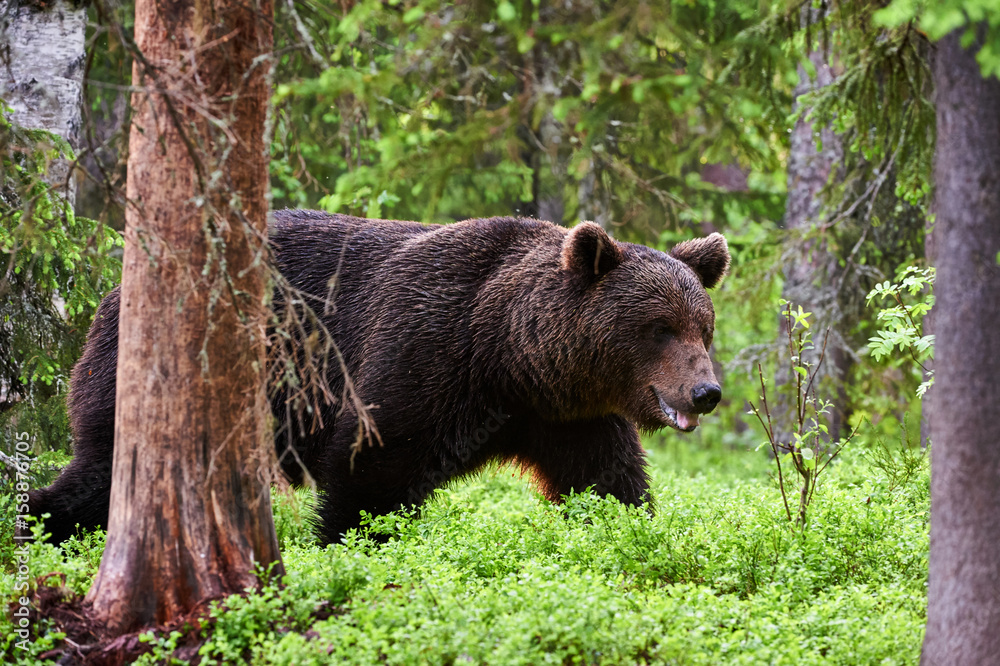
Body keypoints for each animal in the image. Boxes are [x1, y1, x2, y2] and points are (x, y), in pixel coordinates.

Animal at [28, 210, 729, 545]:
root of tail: (114, 286)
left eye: (703, 327)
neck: (508, 356)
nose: (706, 392)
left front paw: (629, 526)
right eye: (659, 328)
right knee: (106, 469)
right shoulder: (424, 352)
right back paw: (40, 524)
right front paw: (353, 543)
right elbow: (372, 472)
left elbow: (605, 480)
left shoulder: (566, 415)